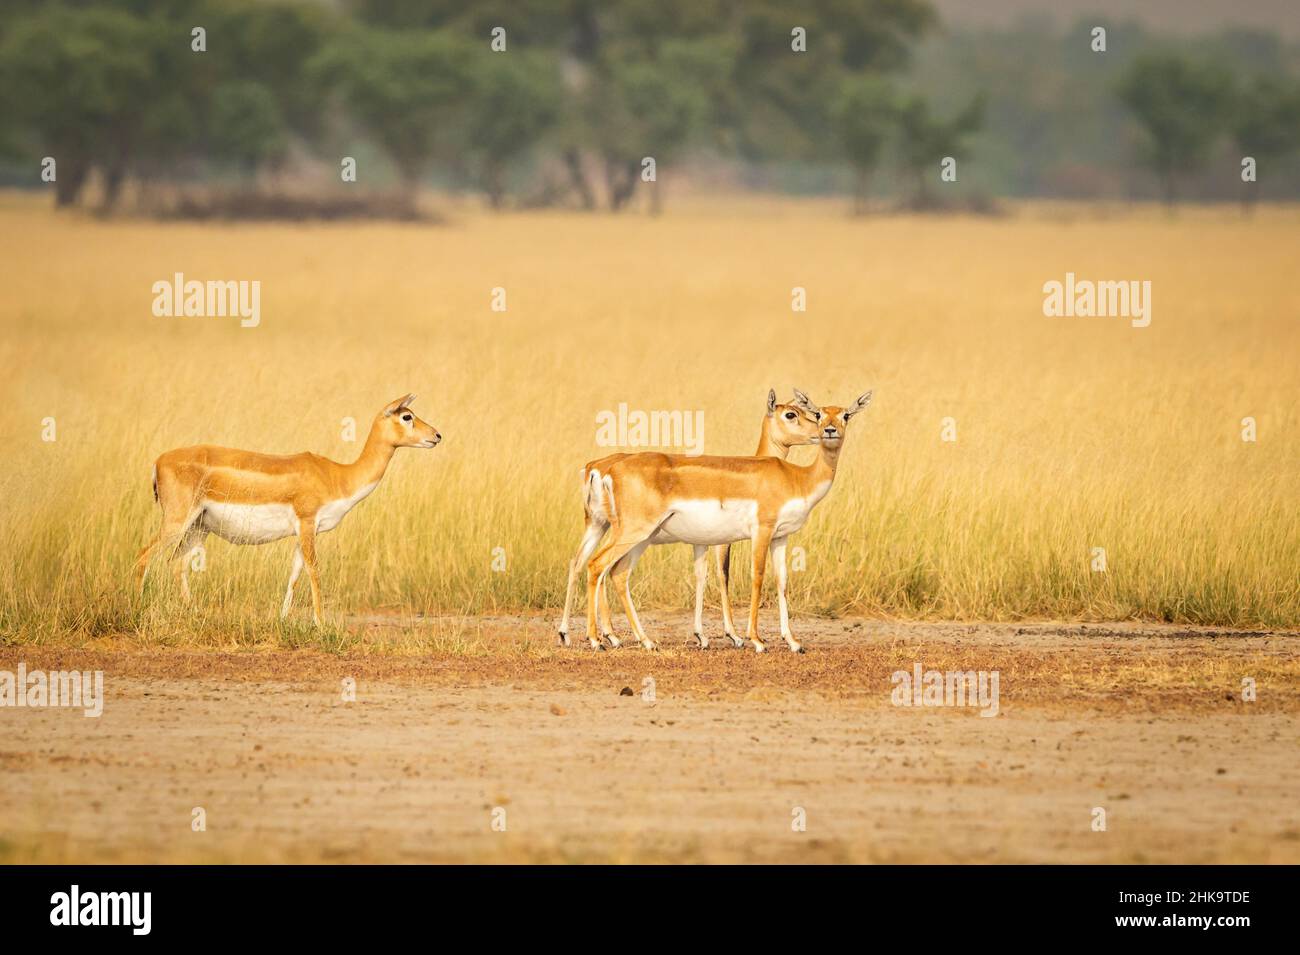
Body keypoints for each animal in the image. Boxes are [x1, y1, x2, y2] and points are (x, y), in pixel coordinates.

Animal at [134, 394, 441, 625]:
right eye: (407, 416)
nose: (437, 436)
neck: (338, 476)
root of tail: (158, 461)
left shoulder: (303, 532)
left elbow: (294, 573)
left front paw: (283, 620)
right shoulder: (307, 524)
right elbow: (314, 571)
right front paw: (321, 624)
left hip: (199, 527)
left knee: (177, 564)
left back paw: (195, 614)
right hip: (177, 521)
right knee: (144, 556)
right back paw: (137, 611)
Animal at [583, 390, 872, 653]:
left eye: (845, 415)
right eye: (817, 413)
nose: (828, 431)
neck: (797, 478)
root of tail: (605, 469)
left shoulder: (781, 536)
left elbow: (781, 581)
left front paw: (792, 642)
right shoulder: (758, 533)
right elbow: (753, 576)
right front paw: (753, 640)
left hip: (637, 536)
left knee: (614, 571)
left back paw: (642, 640)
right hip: (632, 532)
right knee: (596, 565)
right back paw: (598, 640)